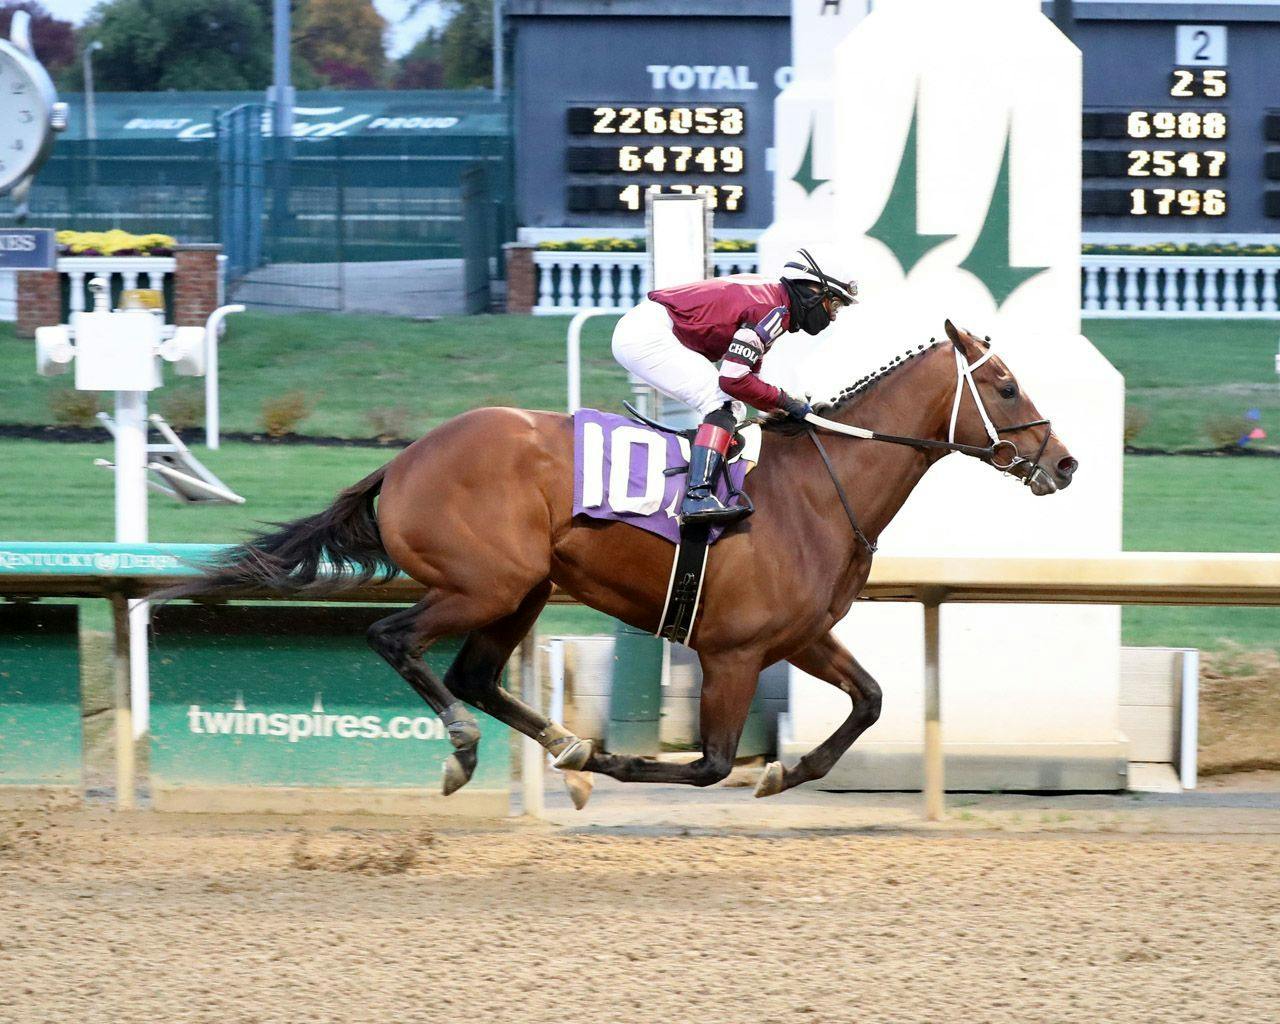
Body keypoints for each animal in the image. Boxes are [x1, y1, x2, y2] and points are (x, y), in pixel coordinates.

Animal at [170, 323, 1070, 803]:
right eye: (1007, 386)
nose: (1064, 464)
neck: (817, 487)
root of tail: (403, 460)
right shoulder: (734, 651)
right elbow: (708, 765)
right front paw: (618, 762)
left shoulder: (800, 636)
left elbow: (873, 700)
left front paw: (787, 771)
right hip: (484, 584)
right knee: (396, 641)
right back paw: (476, 750)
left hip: (524, 590)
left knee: (472, 675)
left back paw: (560, 748)